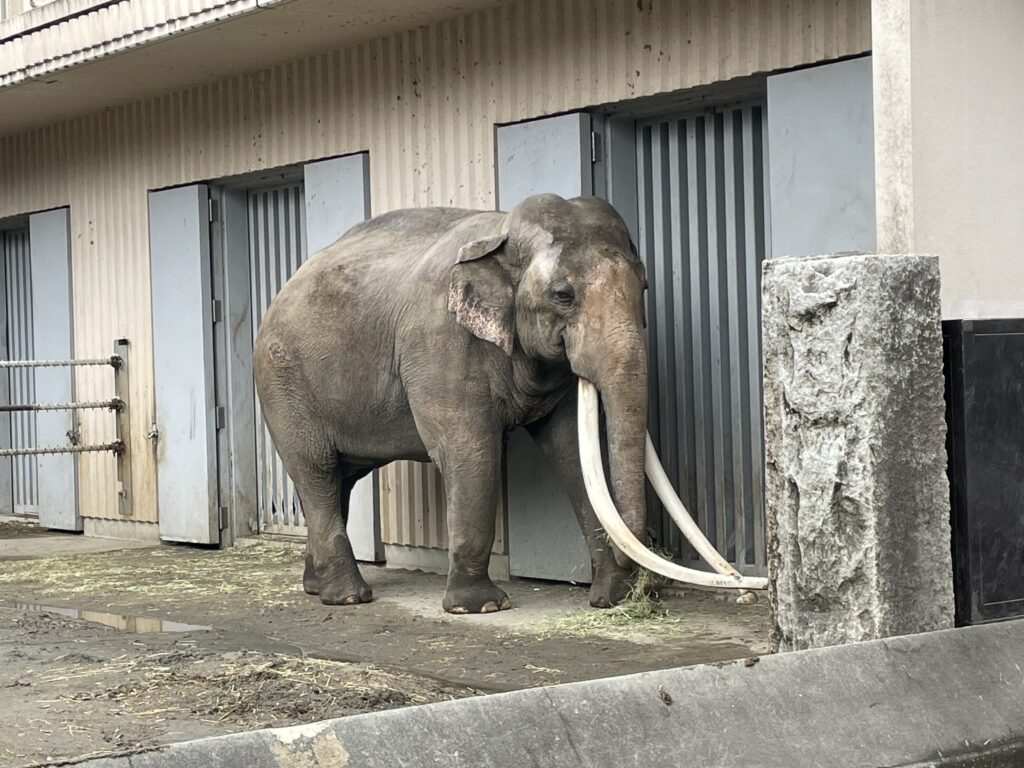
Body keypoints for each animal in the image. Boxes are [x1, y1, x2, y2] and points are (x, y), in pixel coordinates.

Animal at [253, 192, 653, 614]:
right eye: (563, 295)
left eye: (643, 286)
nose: (638, 586)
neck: (501, 231)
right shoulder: (440, 342)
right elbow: (470, 450)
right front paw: (480, 607)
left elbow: (573, 454)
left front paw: (614, 599)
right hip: (282, 384)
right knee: (316, 470)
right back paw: (348, 597)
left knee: (338, 478)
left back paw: (316, 587)